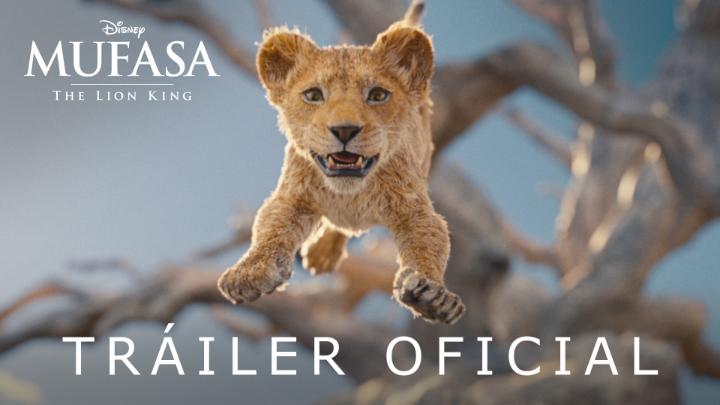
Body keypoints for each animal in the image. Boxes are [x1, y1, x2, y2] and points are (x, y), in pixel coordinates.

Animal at [217, 19, 465, 324]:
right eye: (313, 95)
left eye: (378, 95)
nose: (345, 130)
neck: (350, 194)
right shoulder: (292, 196)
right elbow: (269, 228)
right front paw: (249, 273)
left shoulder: (414, 209)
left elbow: (429, 243)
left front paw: (432, 295)